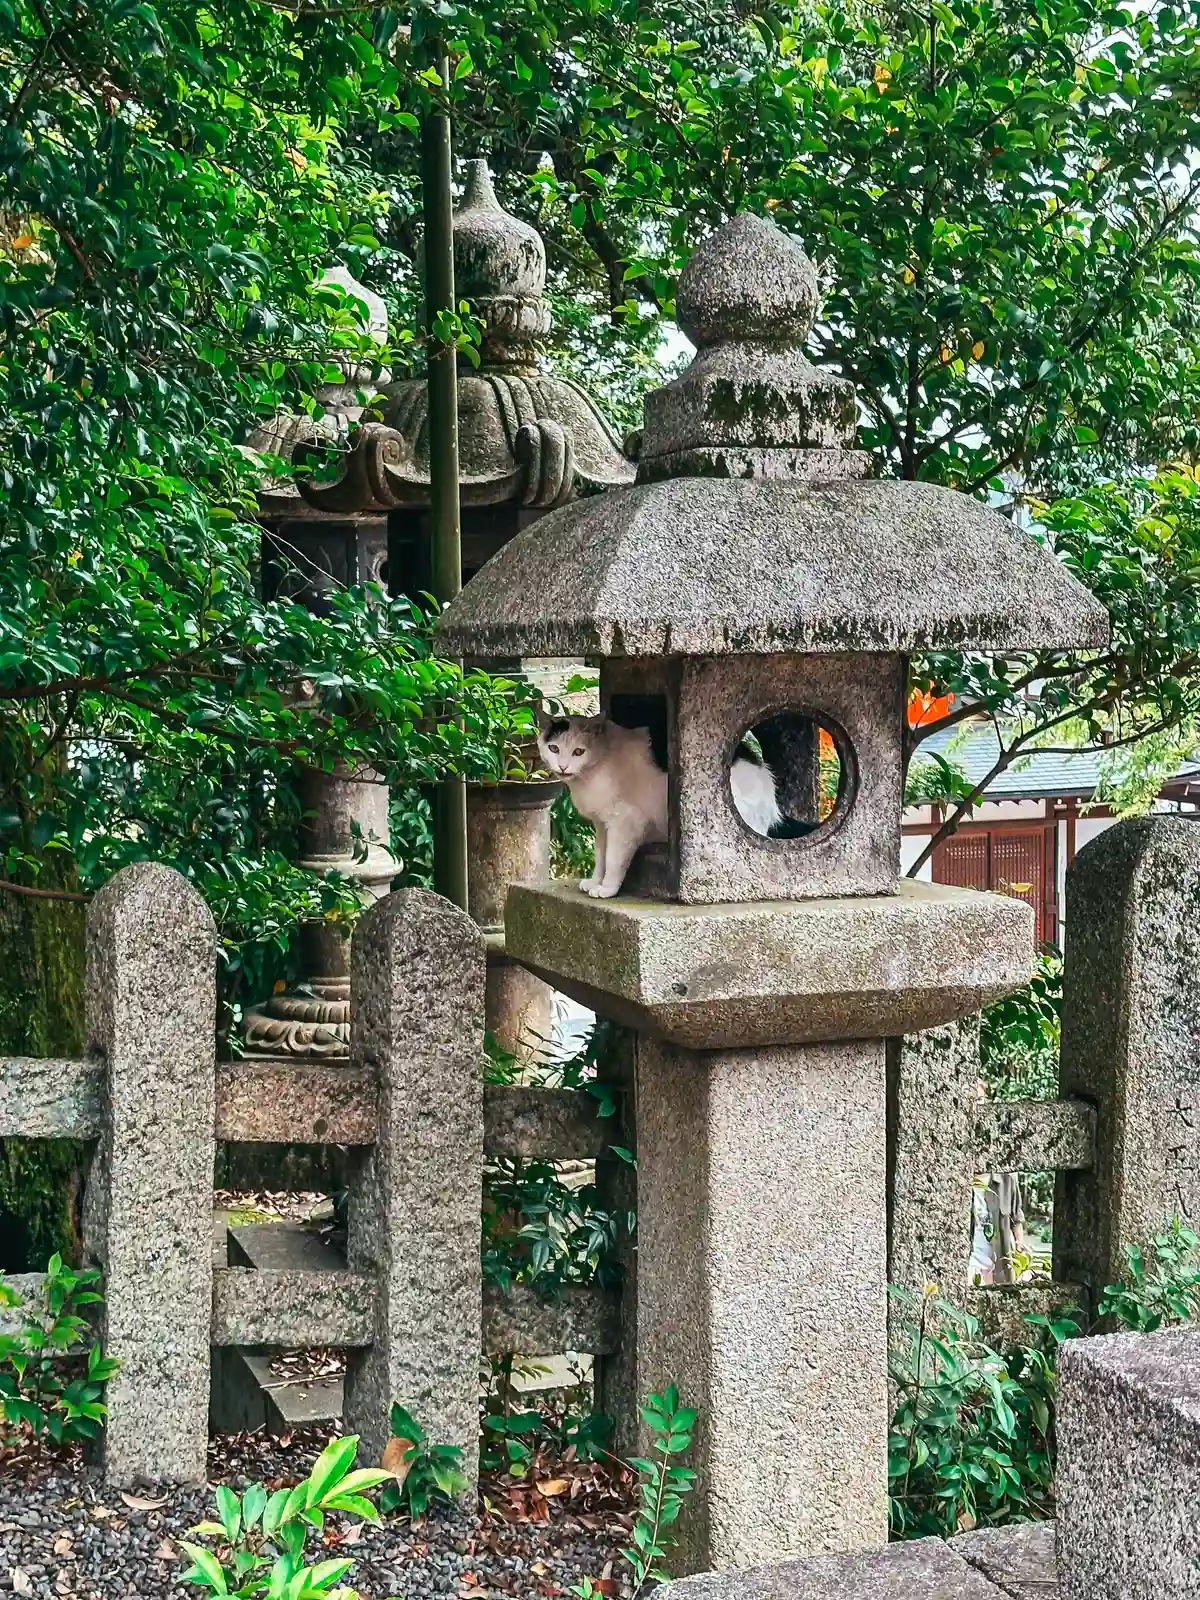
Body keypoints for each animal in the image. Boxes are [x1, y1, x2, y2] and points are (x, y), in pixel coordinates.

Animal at [537, 716, 784, 902]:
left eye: (578, 752)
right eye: (554, 748)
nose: (563, 766)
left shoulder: (626, 822)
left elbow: (613, 859)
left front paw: (607, 889)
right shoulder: (602, 825)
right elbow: (601, 857)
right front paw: (595, 881)